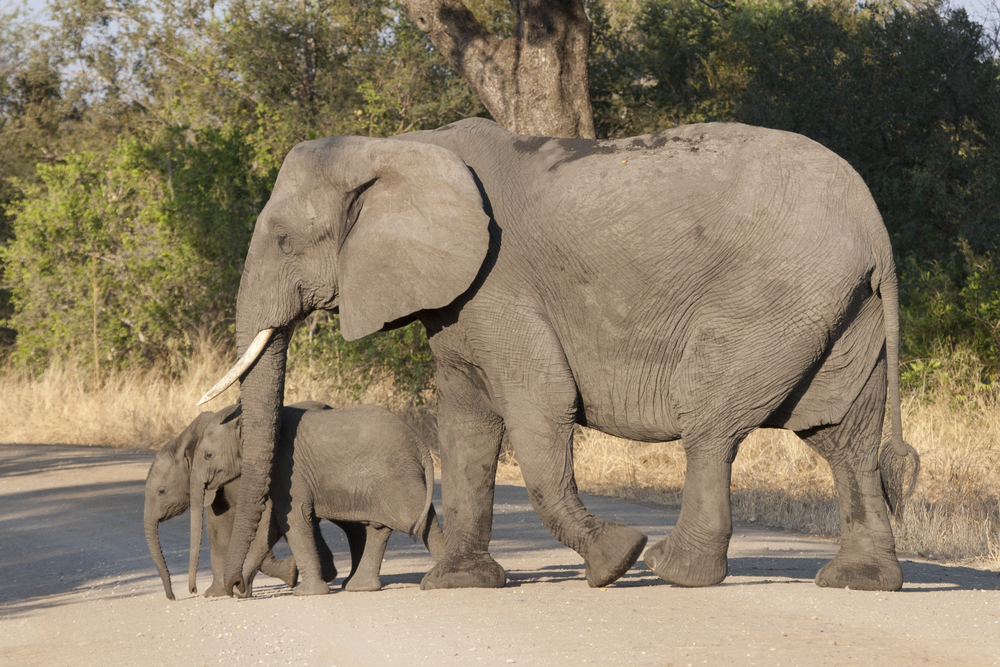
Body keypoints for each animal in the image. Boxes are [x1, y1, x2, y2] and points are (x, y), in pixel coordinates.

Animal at [193, 402, 444, 596]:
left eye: (208, 456)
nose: (234, 584)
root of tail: (419, 443)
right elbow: (271, 526)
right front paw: (240, 593)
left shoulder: (288, 468)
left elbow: (293, 518)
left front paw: (307, 593)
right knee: (380, 526)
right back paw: (360, 587)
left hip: (395, 473)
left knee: (416, 516)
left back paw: (438, 578)